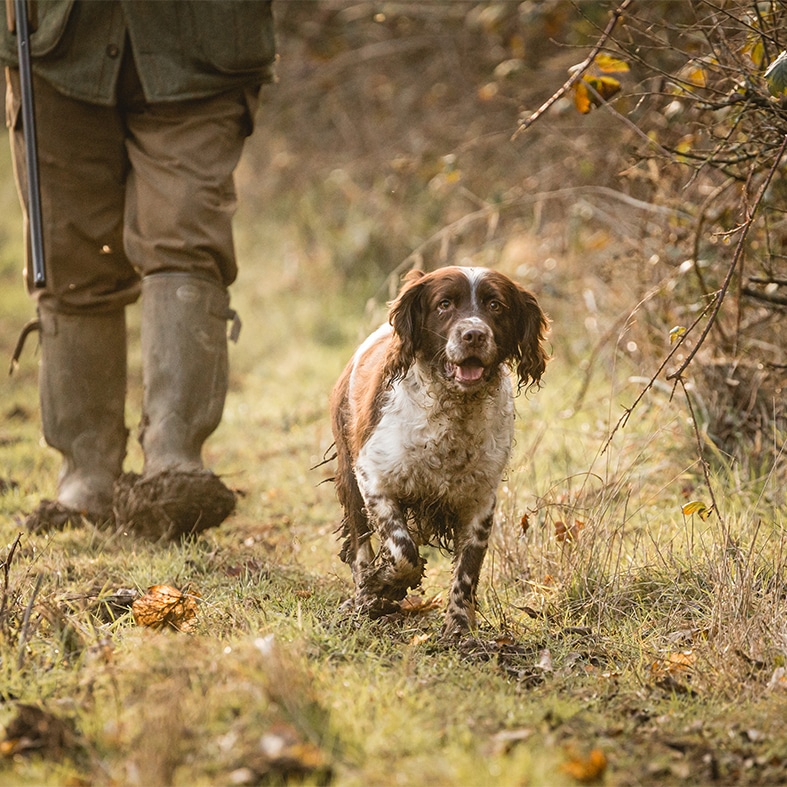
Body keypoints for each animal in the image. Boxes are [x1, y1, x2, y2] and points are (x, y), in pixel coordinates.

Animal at [328, 268, 548, 636]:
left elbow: (466, 571)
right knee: (360, 545)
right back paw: (364, 599)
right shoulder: (373, 479)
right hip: (349, 479)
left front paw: (459, 627)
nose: (474, 335)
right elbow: (403, 552)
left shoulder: (479, 501)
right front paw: (382, 585)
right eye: (445, 304)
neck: (453, 412)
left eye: (495, 305)